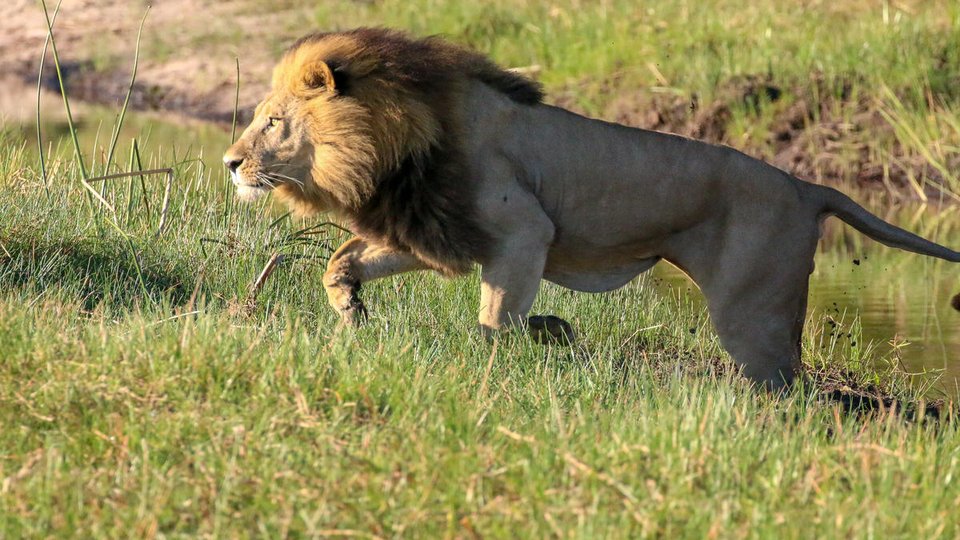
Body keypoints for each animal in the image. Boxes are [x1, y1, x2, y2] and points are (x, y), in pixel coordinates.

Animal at [223, 28, 960, 389]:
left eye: (273, 122)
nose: (229, 163)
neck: (395, 143)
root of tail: (808, 187)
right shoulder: (438, 226)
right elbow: (344, 260)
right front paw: (352, 311)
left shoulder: (522, 230)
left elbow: (495, 316)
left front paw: (515, 351)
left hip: (754, 310)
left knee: (788, 382)